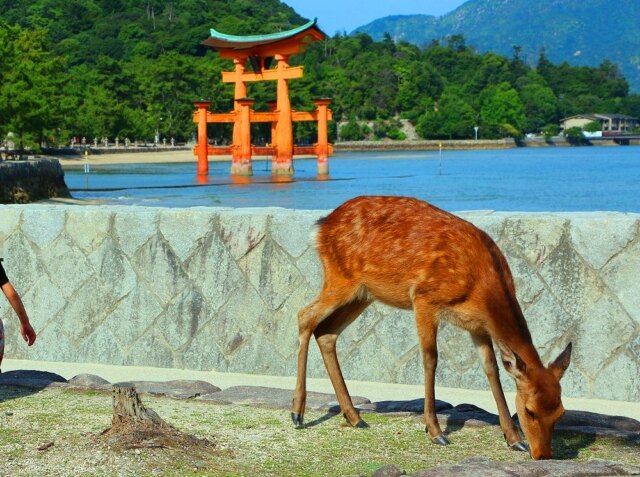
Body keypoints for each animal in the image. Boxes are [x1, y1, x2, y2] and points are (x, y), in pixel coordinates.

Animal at [292, 195, 572, 460]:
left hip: (363, 293)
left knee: (326, 331)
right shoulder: (424, 298)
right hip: (341, 278)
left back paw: (354, 417)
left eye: (560, 411)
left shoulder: (477, 325)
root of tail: (321, 226)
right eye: (529, 411)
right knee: (304, 315)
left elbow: (491, 369)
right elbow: (430, 359)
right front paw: (435, 431)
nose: (543, 454)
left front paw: (514, 439)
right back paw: (297, 413)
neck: (482, 284)